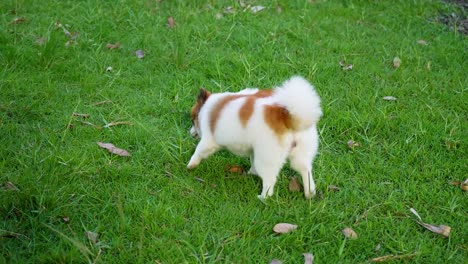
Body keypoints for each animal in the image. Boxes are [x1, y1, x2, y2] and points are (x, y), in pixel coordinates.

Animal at [186, 75, 322, 199]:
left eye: (192, 120)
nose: (190, 132)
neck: (207, 107)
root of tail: (287, 117)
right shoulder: (253, 149)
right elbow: (252, 160)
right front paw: (252, 173)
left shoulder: (208, 140)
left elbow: (198, 151)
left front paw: (190, 165)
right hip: (301, 153)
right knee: (306, 170)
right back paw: (309, 193)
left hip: (266, 156)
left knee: (270, 180)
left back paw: (263, 197)